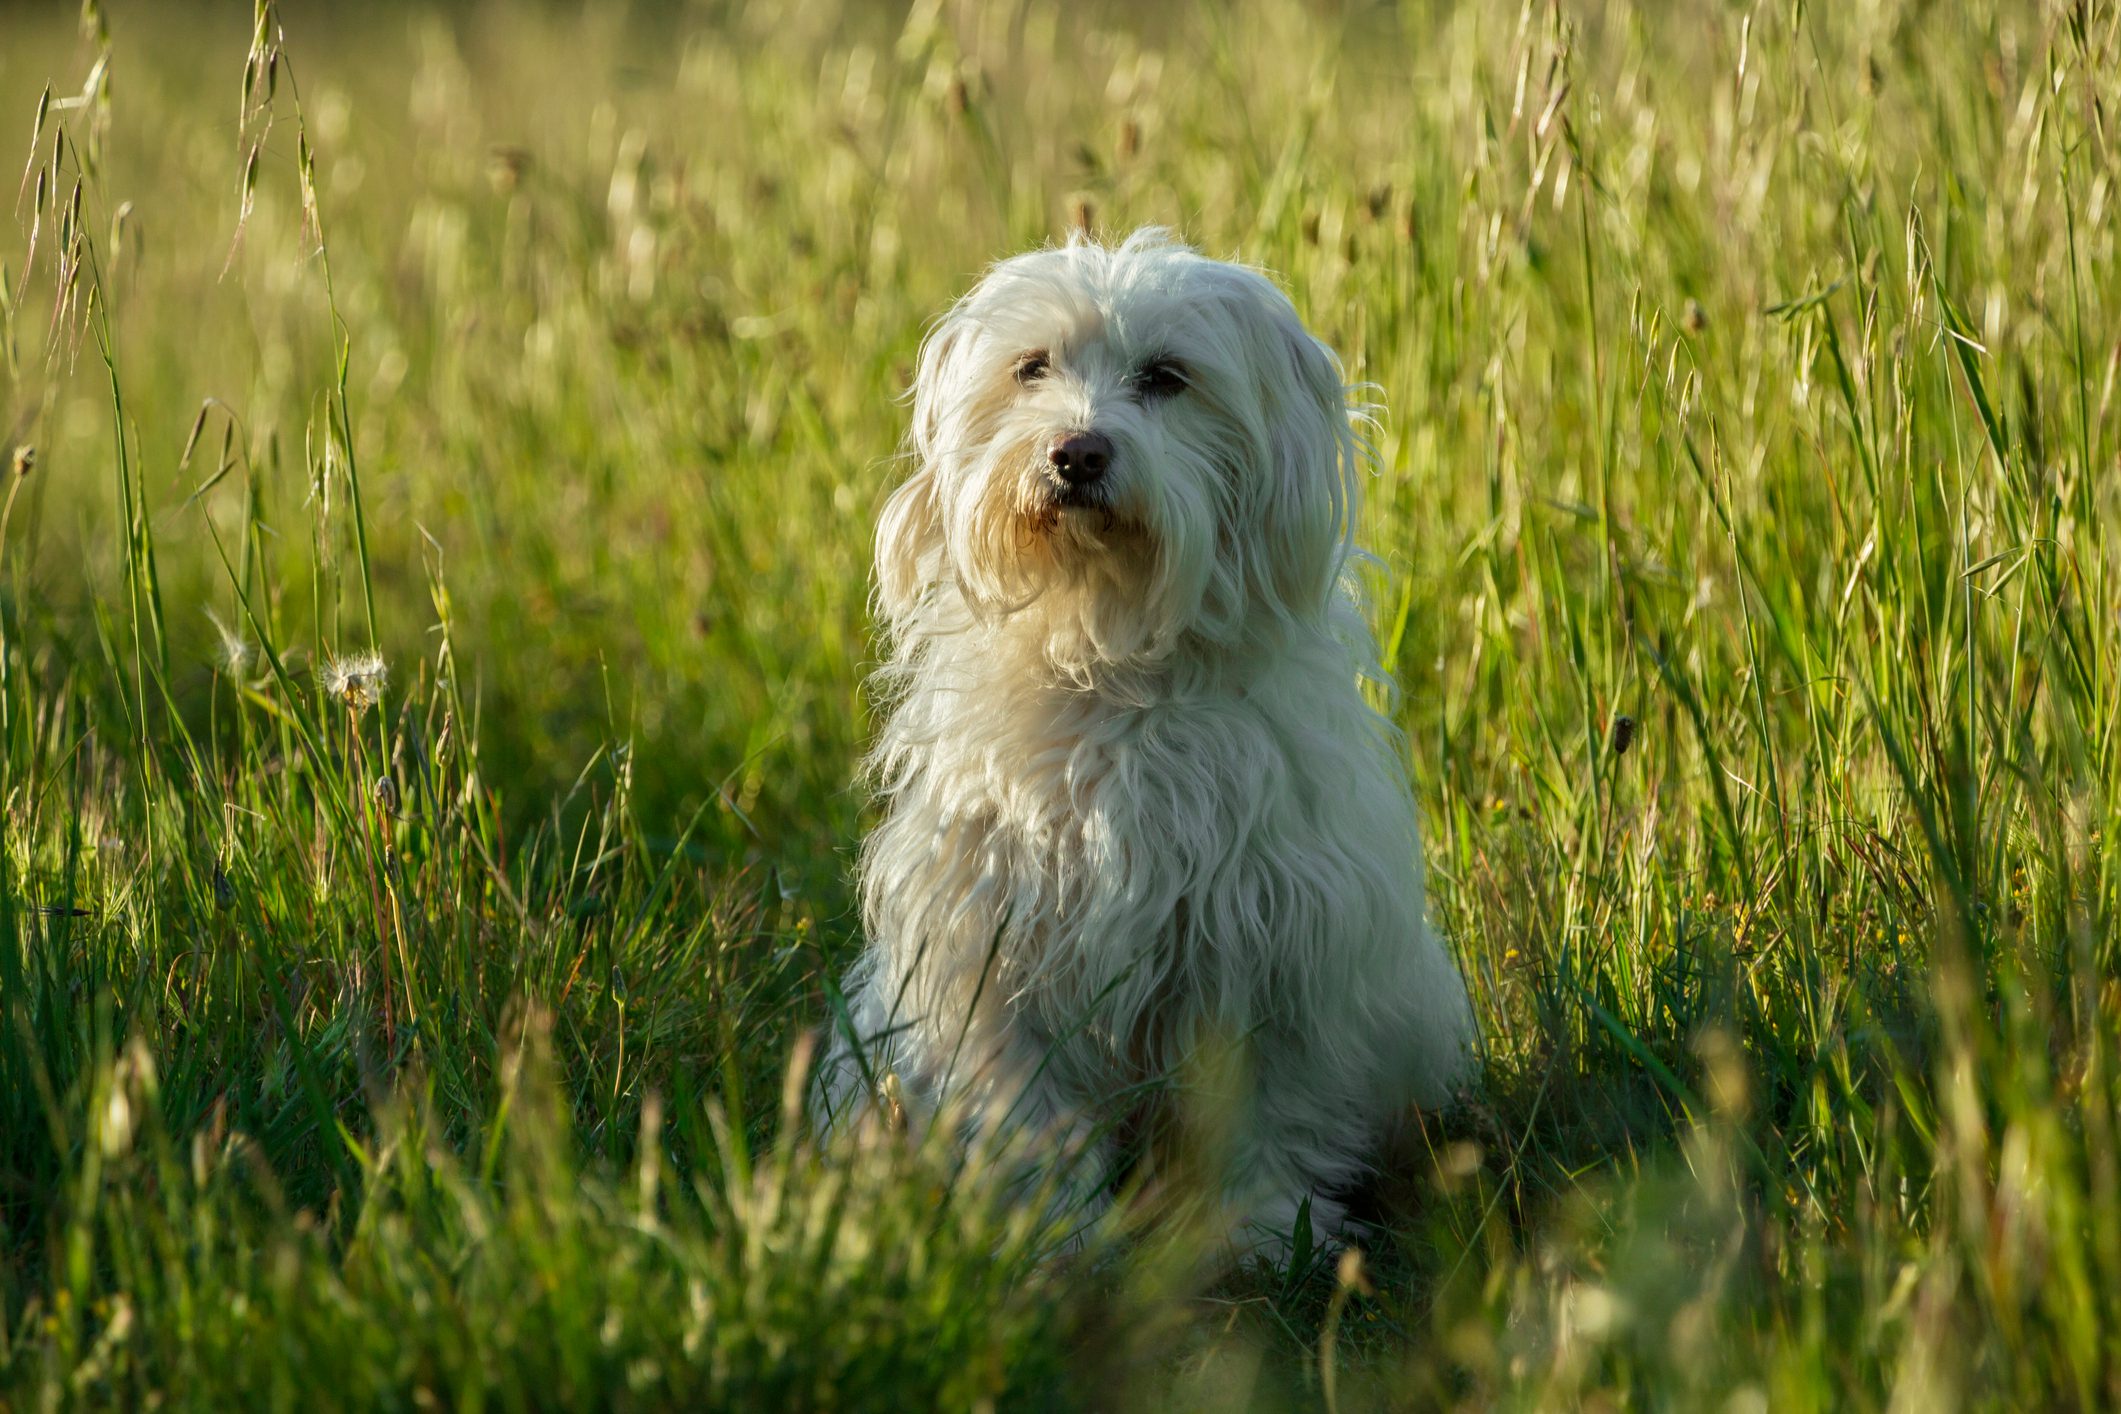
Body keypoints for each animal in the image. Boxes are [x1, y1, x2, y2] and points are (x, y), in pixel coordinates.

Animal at [810, 226, 1476, 1255]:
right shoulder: (996, 949)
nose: (1076, 452)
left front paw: (1267, 1226)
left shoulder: (1271, 949)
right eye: (1031, 367)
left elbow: (1264, 1112)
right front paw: (1052, 1233)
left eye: (1166, 377)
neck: (1112, 662)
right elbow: (1028, 1116)